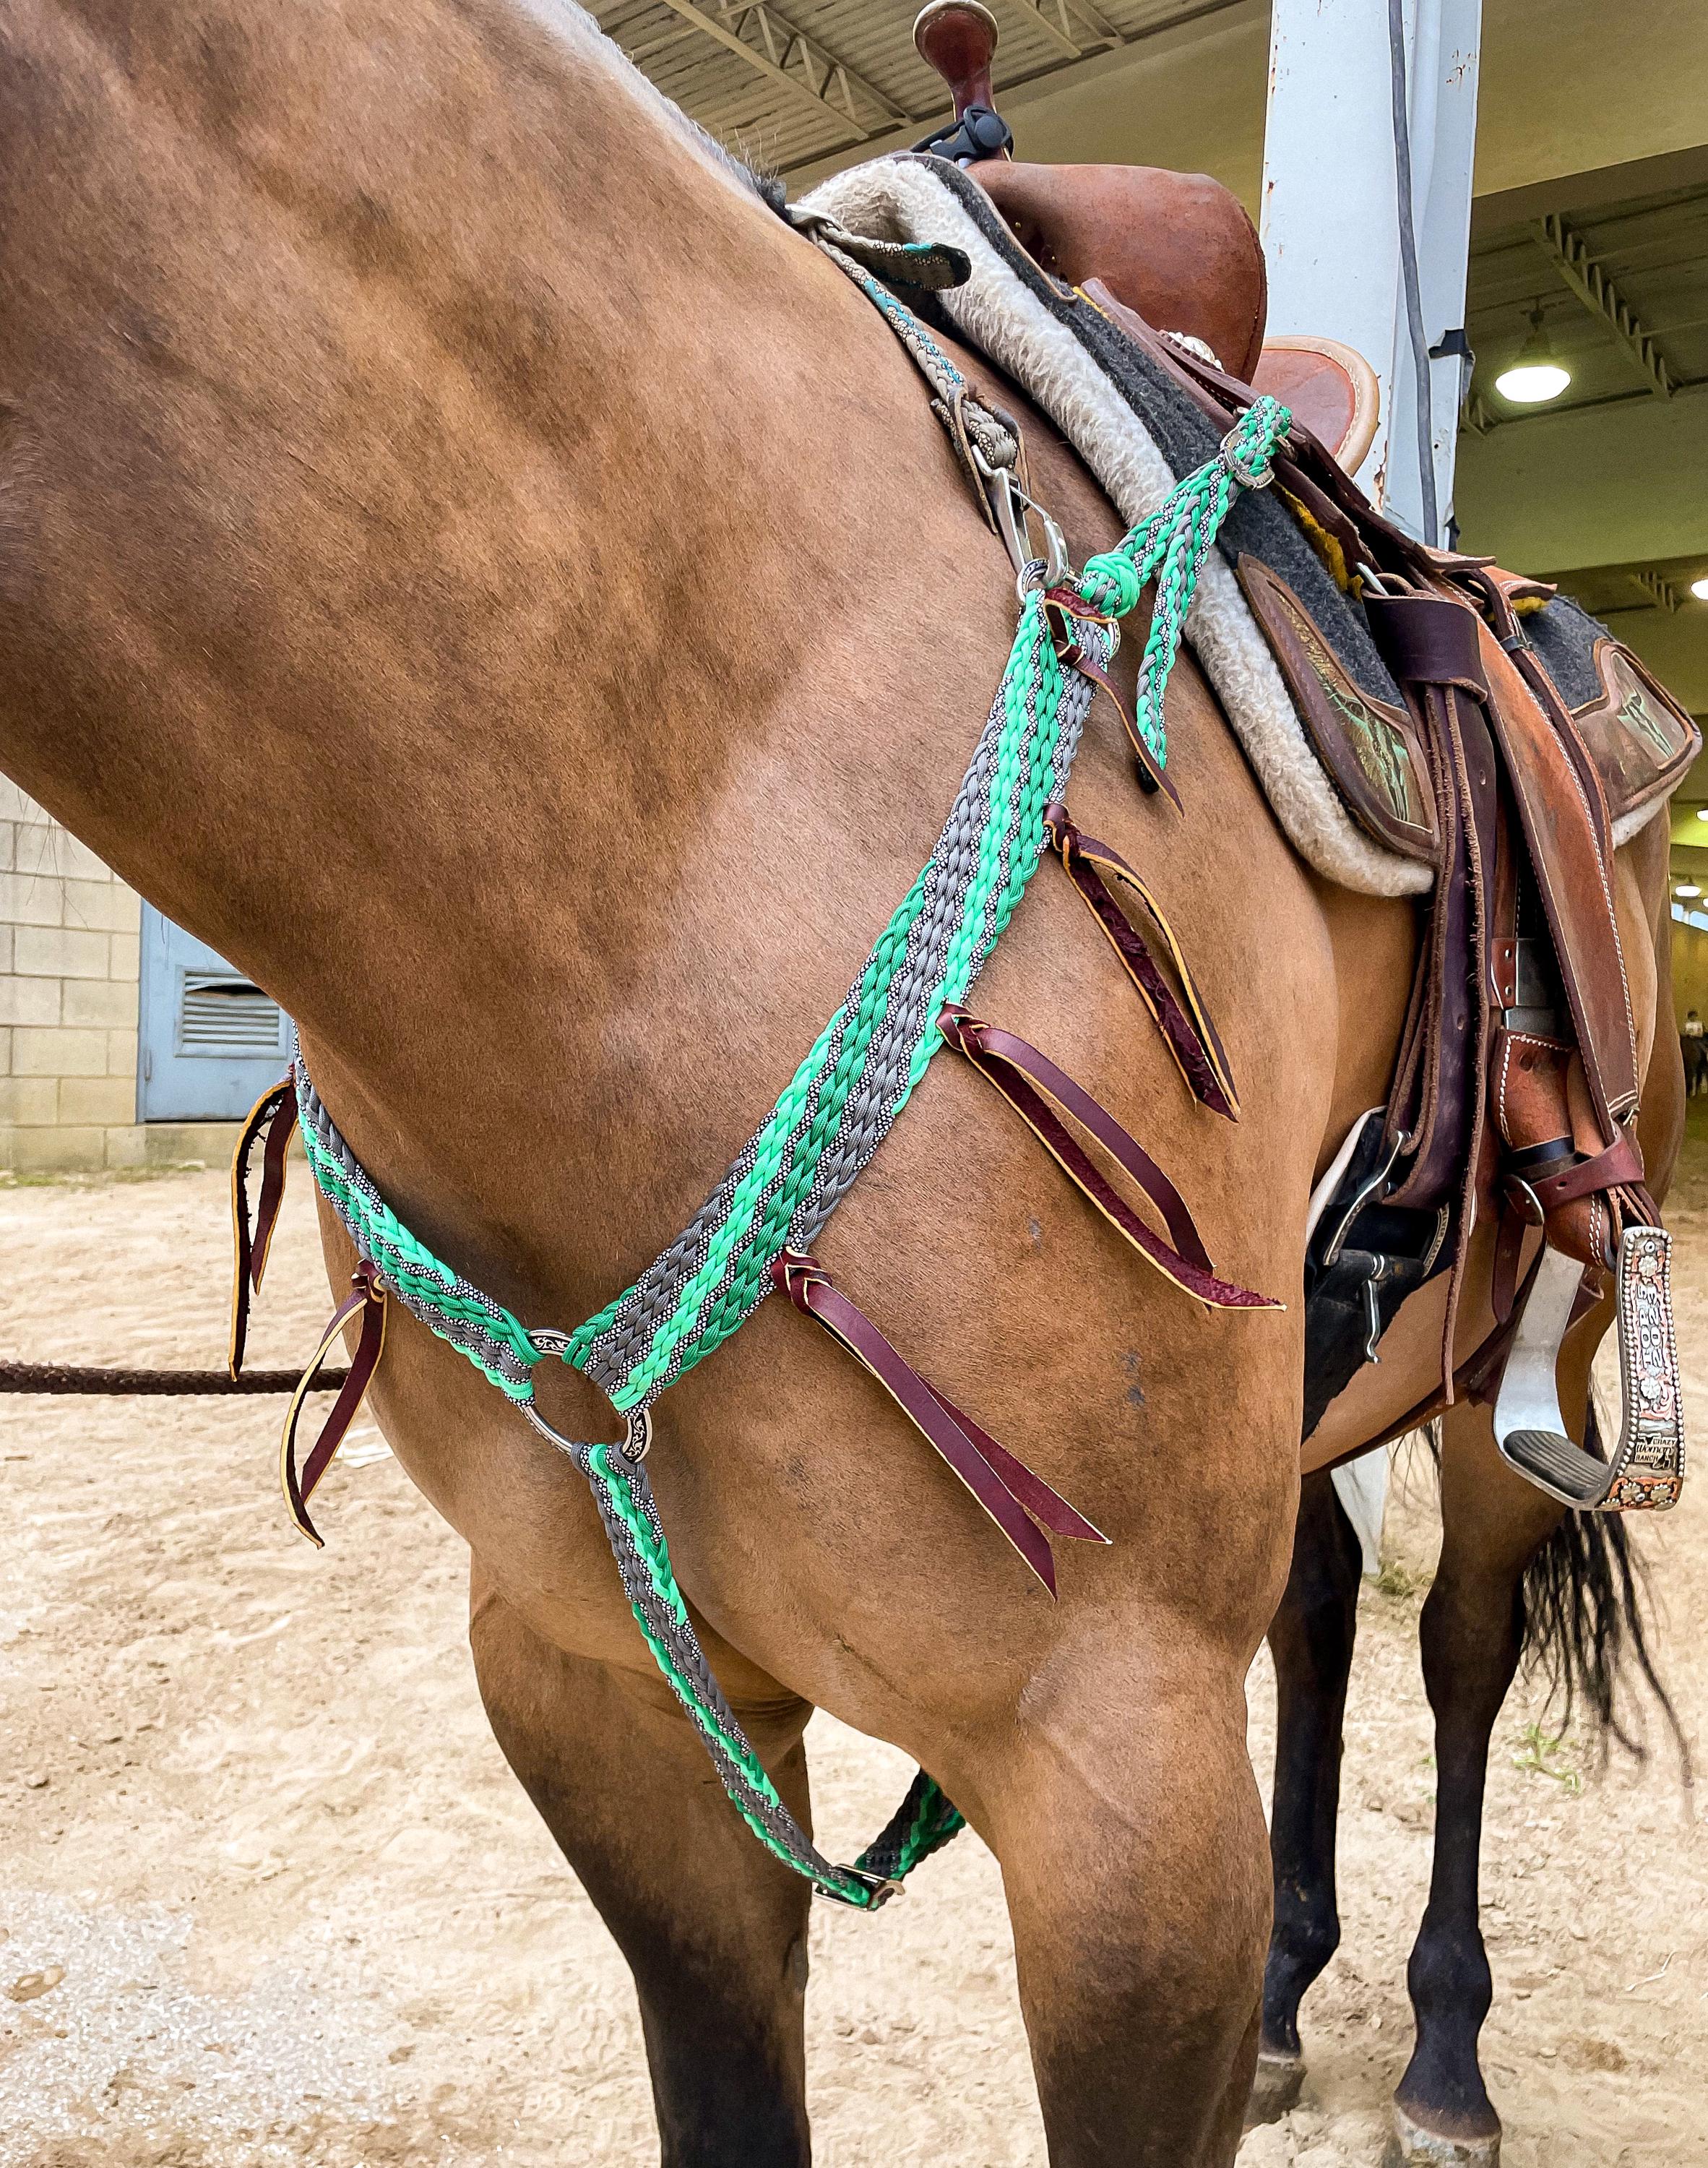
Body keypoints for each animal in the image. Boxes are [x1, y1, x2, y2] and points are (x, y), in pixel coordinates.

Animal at [0, 5, 1681, 2162]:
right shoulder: (600, 1697)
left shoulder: (1119, 1783)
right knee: (1317, 1604)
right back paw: (1296, 1998)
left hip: (1504, 1357)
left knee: (1458, 1650)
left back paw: (1442, 2050)